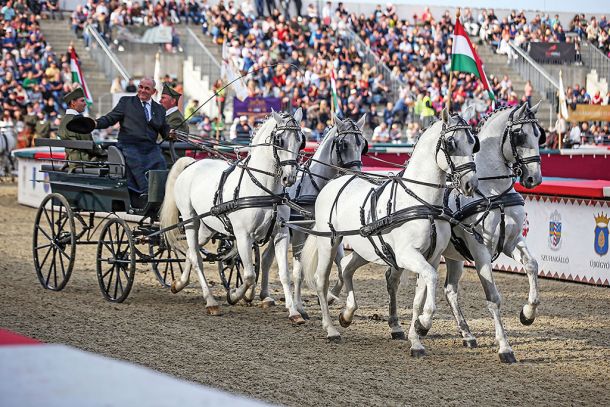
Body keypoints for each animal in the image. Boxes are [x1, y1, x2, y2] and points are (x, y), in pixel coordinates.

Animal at [159, 108, 304, 318]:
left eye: (301, 140)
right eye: (280, 140)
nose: (290, 178)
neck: (263, 188)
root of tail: (192, 164)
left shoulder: (281, 233)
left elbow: (284, 274)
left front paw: (294, 313)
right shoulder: (243, 236)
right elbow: (250, 275)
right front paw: (234, 295)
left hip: (207, 228)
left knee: (191, 252)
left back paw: (179, 284)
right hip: (190, 220)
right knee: (197, 258)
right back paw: (211, 302)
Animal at [258, 115, 366, 318]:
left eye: (363, 144)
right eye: (343, 144)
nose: (356, 175)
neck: (315, 187)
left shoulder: (331, 234)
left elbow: (341, 267)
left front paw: (330, 297)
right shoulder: (300, 233)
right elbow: (298, 272)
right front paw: (299, 307)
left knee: (266, 258)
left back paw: (265, 296)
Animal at [302, 108, 478, 356]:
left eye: (473, 142)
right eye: (451, 143)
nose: (471, 184)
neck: (421, 200)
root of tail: (336, 182)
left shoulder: (431, 258)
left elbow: (420, 296)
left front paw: (416, 338)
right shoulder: (408, 255)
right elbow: (431, 280)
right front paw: (423, 324)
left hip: (367, 248)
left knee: (346, 267)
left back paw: (347, 314)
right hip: (330, 242)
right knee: (321, 280)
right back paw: (331, 329)